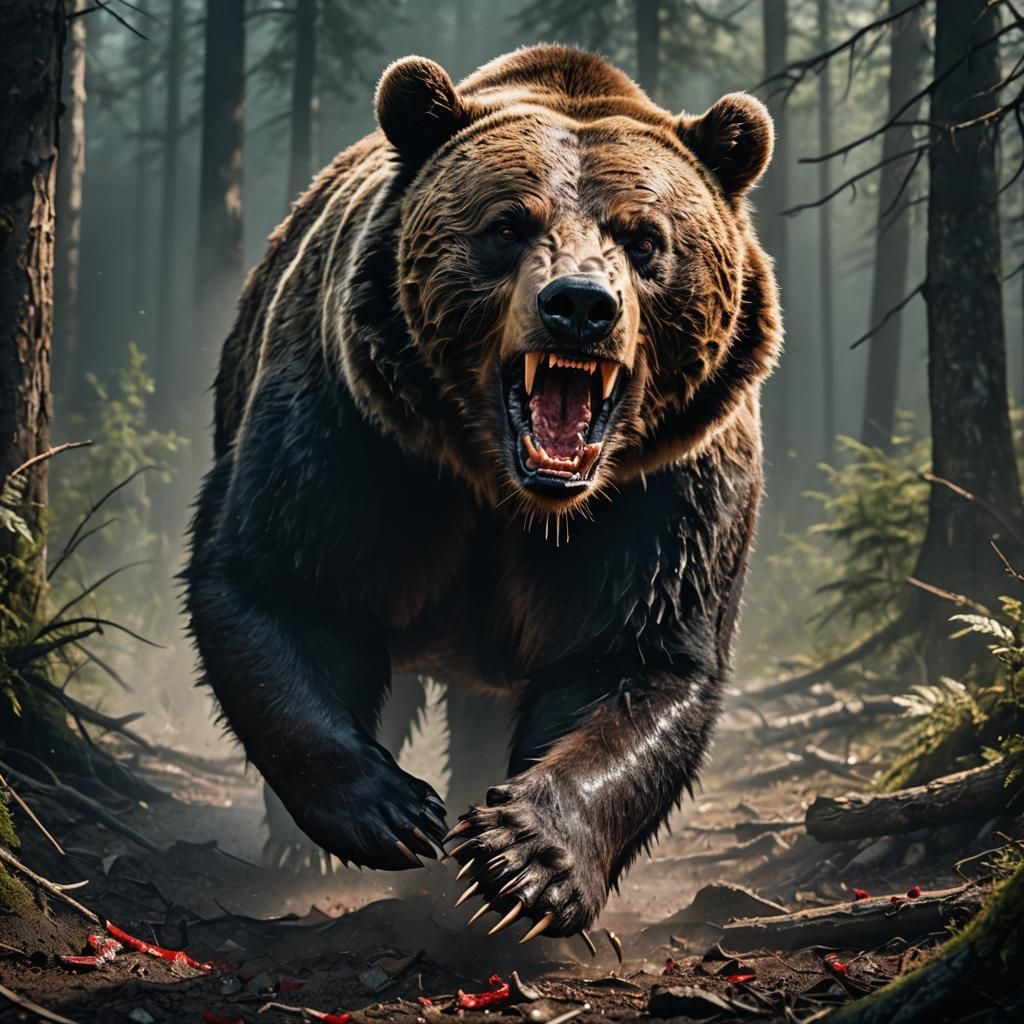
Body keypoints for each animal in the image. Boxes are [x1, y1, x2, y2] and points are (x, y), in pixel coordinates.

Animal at [185, 44, 781, 941]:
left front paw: (523, 856)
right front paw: (392, 810)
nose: (580, 306)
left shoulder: (663, 490)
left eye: (646, 237)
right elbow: (288, 586)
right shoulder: (359, 437)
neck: (512, 490)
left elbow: (634, 657)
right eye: (508, 224)